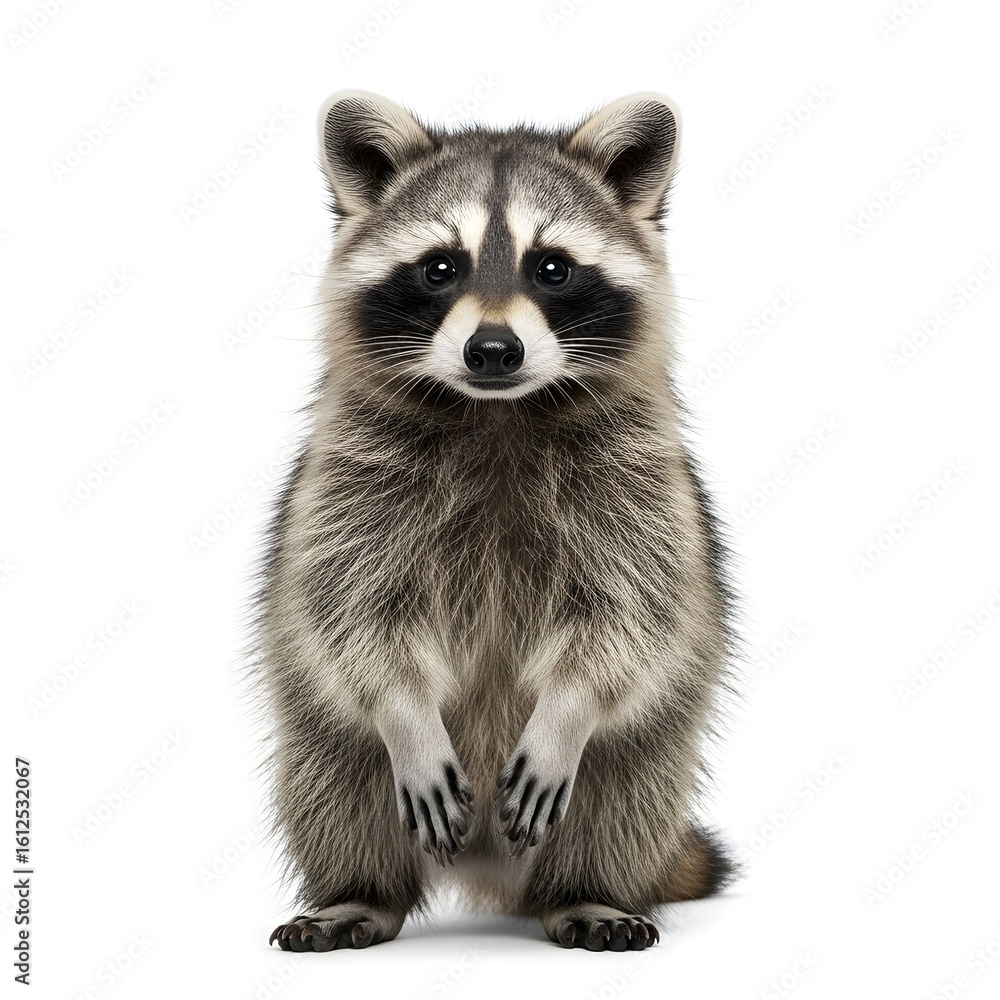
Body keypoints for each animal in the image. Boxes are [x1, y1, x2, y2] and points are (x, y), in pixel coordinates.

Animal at [255, 90, 737, 953]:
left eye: (553, 267)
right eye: (439, 267)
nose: (492, 350)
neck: (497, 410)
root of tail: (489, 869)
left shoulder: (642, 489)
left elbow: (629, 616)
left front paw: (569, 707)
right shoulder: (347, 485)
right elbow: (352, 613)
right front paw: (404, 712)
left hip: (651, 755)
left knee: (625, 793)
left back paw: (588, 891)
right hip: (320, 736)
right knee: (334, 782)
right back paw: (360, 892)